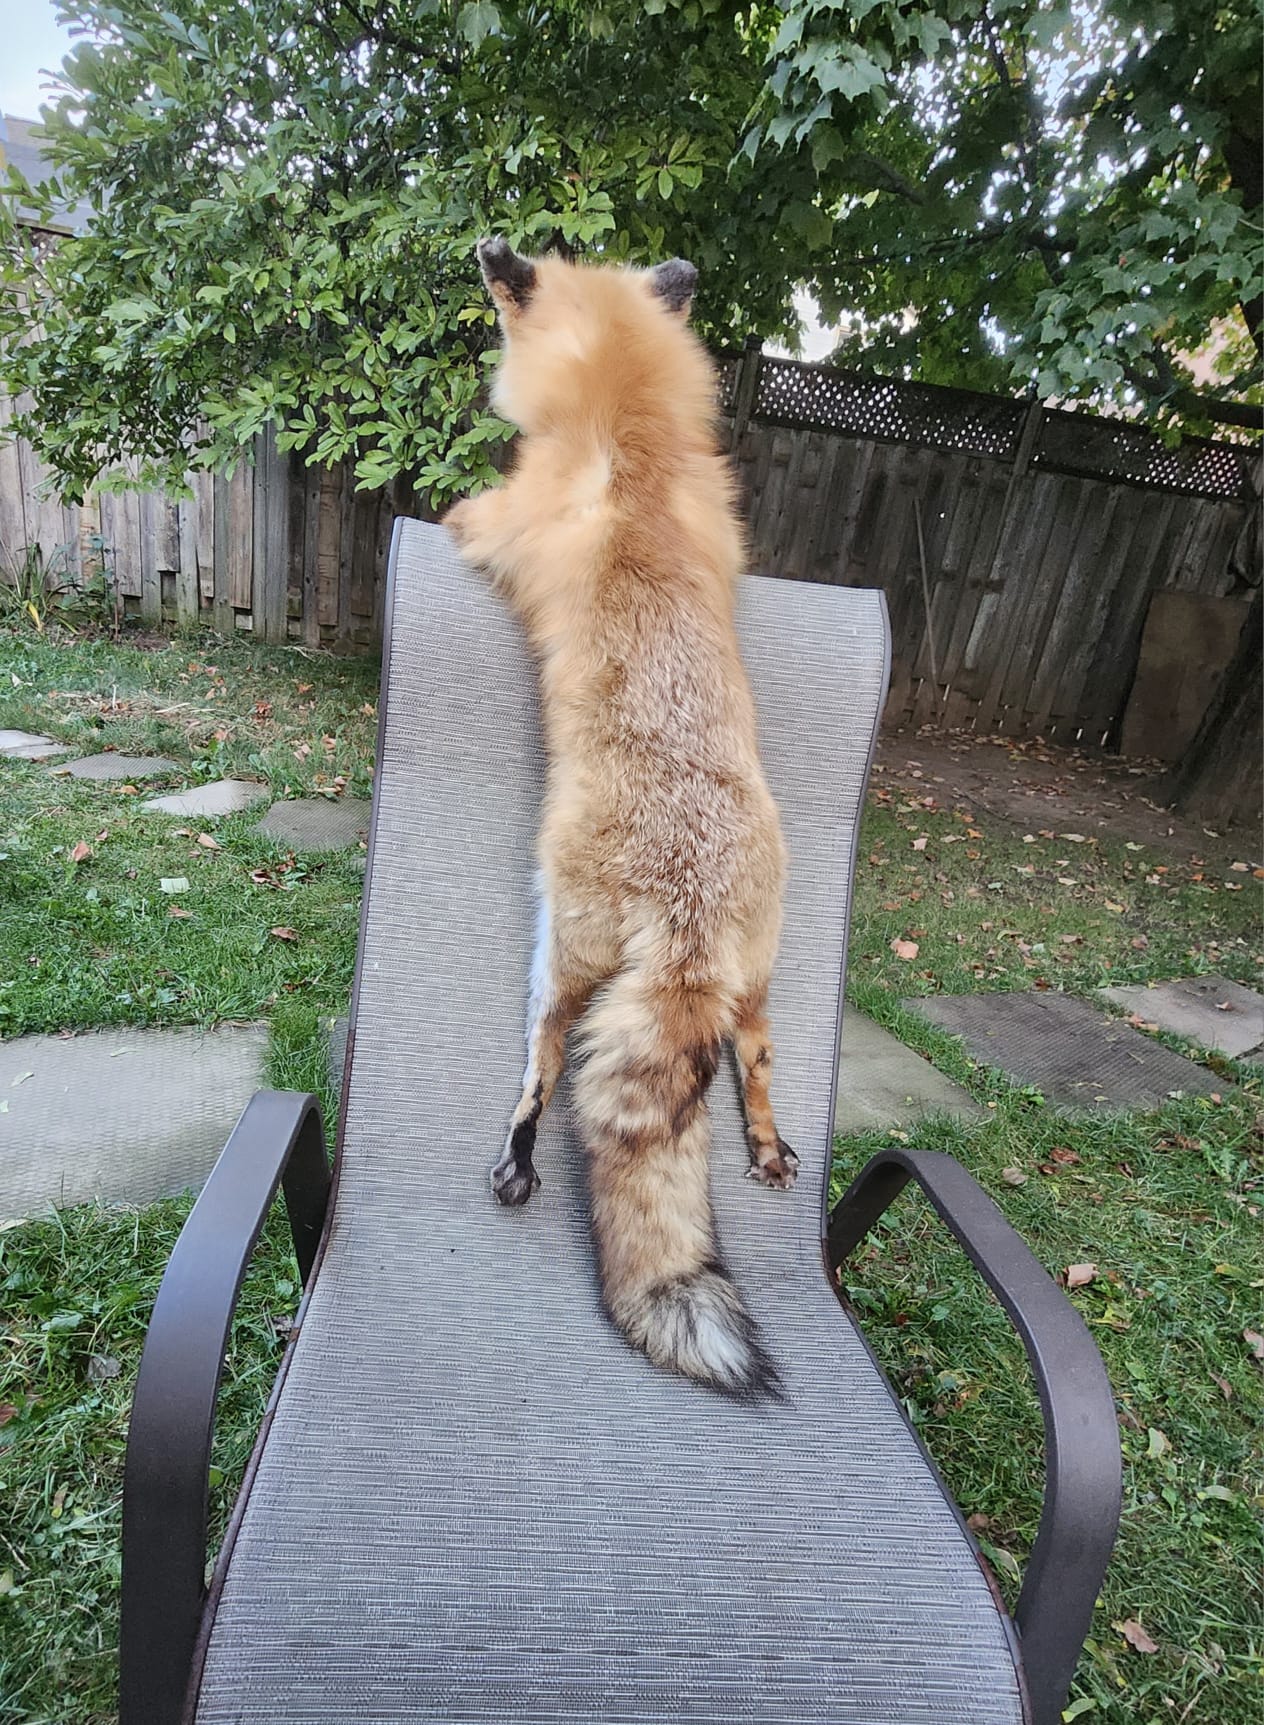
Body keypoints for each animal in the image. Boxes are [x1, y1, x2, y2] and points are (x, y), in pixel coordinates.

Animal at [444, 238, 797, 1401]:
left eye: (516, 276)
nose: (487, 246)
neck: (631, 439)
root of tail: (689, 910)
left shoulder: (505, 519)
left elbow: (463, 512)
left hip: (561, 944)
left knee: (547, 1061)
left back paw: (517, 1157)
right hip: (755, 976)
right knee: (754, 1057)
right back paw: (767, 1146)